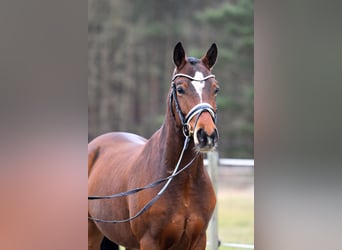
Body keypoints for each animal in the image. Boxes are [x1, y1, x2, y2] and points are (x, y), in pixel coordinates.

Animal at [88, 42, 220, 249]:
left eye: (215, 89)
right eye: (180, 89)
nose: (206, 135)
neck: (182, 182)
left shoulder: (198, 241)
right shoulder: (150, 242)